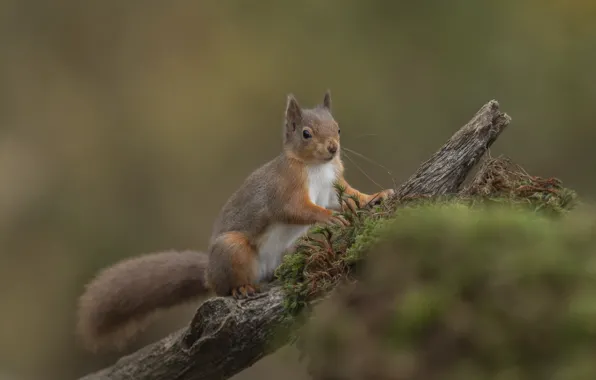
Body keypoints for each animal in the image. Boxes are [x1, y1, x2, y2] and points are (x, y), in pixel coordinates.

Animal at [75, 90, 396, 352]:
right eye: (306, 133)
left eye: (338, 128)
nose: (332, 148)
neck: (316, 167)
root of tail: (208, 272)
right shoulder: (284, 193)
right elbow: (300, 210)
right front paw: (333, 218)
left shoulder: (332, 186)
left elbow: (352, 196)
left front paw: (377, 195)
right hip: (233, 249)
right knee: (227, 286)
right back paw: (241, 288)